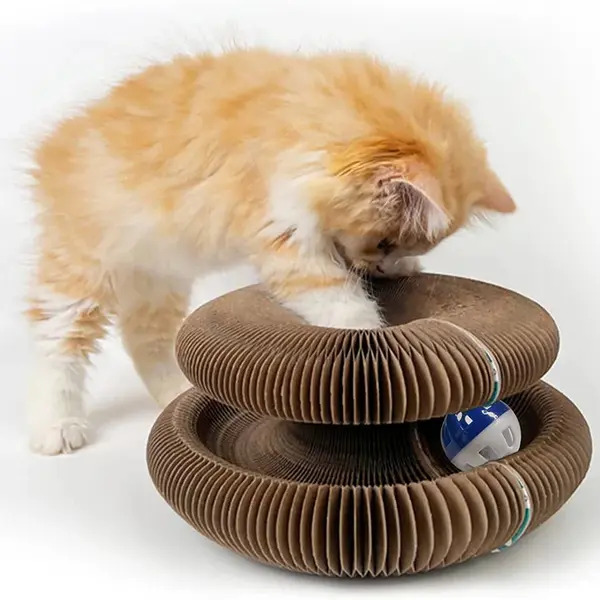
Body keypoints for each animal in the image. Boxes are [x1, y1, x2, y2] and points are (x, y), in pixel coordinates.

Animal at [26, 49, 515, 455]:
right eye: (383, 241)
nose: (381, 263)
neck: (302, 123)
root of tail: (56, 145)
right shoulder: (286, 238)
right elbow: (345, 305)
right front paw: (367, 339)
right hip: (81, 273)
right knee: (56, 344)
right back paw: (57, 426)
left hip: (158, 282)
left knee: (145, 342)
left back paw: (176, 393)